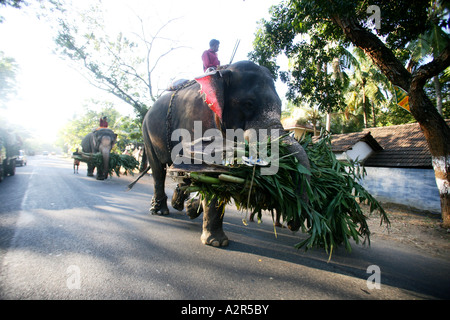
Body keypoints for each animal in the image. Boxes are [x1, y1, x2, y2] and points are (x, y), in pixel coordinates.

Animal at [141, 60, 310, 248]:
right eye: (249, 104)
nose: (291, 224)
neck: (223, 73)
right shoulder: (197, 120)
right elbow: (211, 173)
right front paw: (217, 243)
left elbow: (210, 178)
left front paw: (192, 209)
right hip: (147, 132)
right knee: (158, 170)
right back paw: (160, 211)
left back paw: (178, 203)